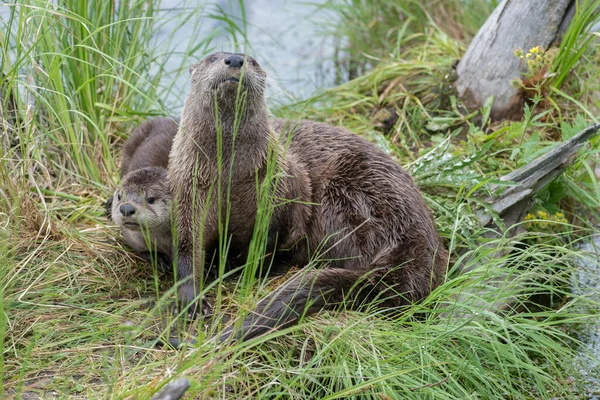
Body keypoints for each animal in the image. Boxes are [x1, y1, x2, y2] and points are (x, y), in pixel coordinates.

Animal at [166, 51, 448, 342]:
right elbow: (186, 245)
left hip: (344, 199)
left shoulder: (281, 193)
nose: (234, 59)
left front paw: (238, 266)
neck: (229, 181)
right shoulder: (187, 193)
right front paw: (192, 300)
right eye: (212, 58)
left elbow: (269, 240)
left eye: (252, 60)